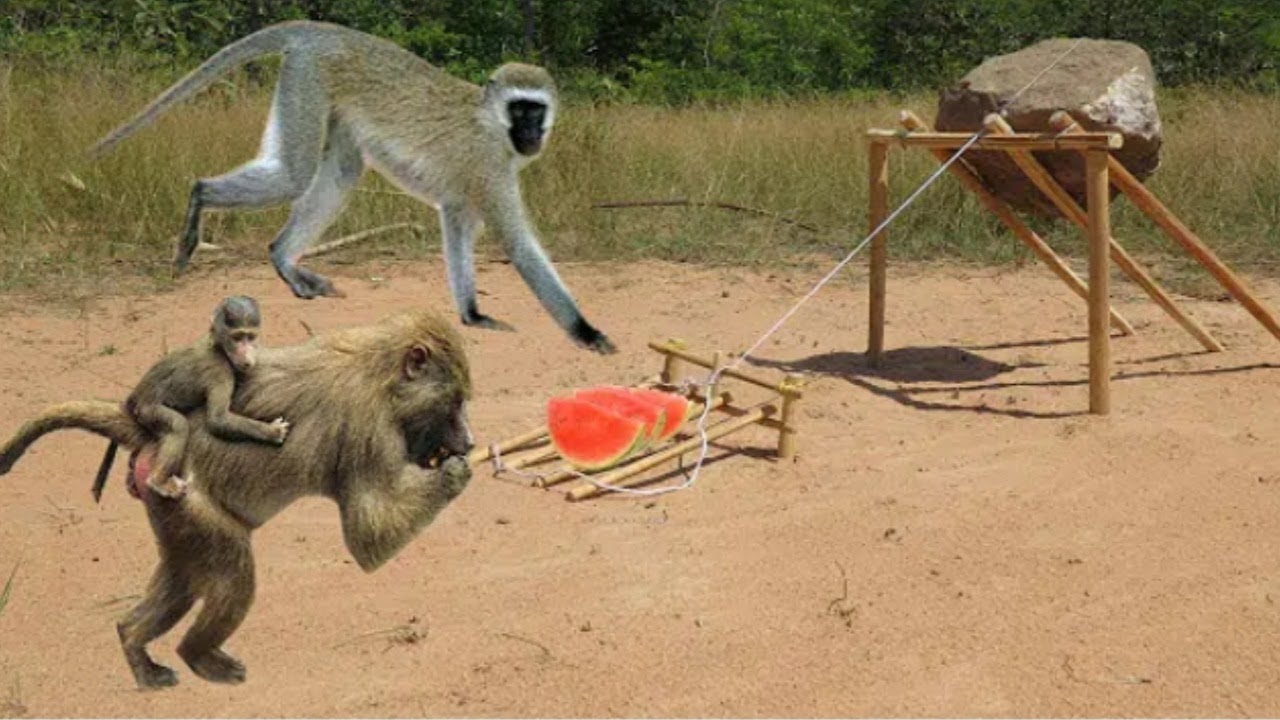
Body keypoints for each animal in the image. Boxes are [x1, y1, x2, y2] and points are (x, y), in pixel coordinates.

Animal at [91, 20, 616, 355]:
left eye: (537, 109)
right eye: (519, 109)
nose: (531, 133)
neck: (491, 124)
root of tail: (324, 30)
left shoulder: (465, 190)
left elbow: (457, 226)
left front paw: (470, 314)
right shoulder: (489, 167)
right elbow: (519, 247)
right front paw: (587, 332)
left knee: (341, 171)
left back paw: (283, 259)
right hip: (306, 77)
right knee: (294, 175)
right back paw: (201, 200)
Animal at [91, 295, 290, 503]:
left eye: (250, 337)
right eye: (237, 338)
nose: (246, 354)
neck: (218, 345)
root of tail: (135, 397)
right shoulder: (218, 370)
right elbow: (218, 420)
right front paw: (272, 432)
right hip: (147, 409)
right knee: (178, 426)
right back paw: (158, 482)